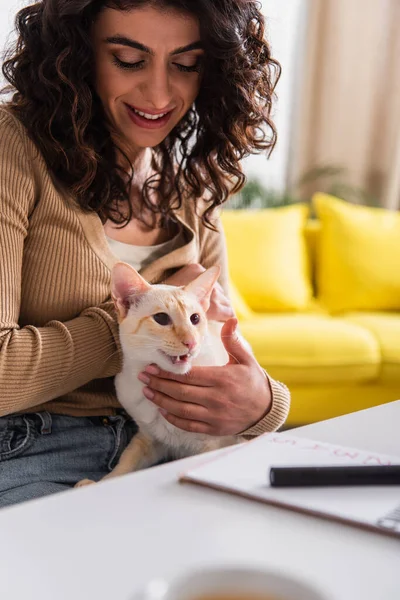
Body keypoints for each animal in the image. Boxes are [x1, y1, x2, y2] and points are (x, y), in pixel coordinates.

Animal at [76, 262, 238, 488]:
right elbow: (125, 464)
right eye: (161, 318)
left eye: (195, 319)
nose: (191, 342)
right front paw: (99, 484)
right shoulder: (150, 439)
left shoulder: (214, 444)